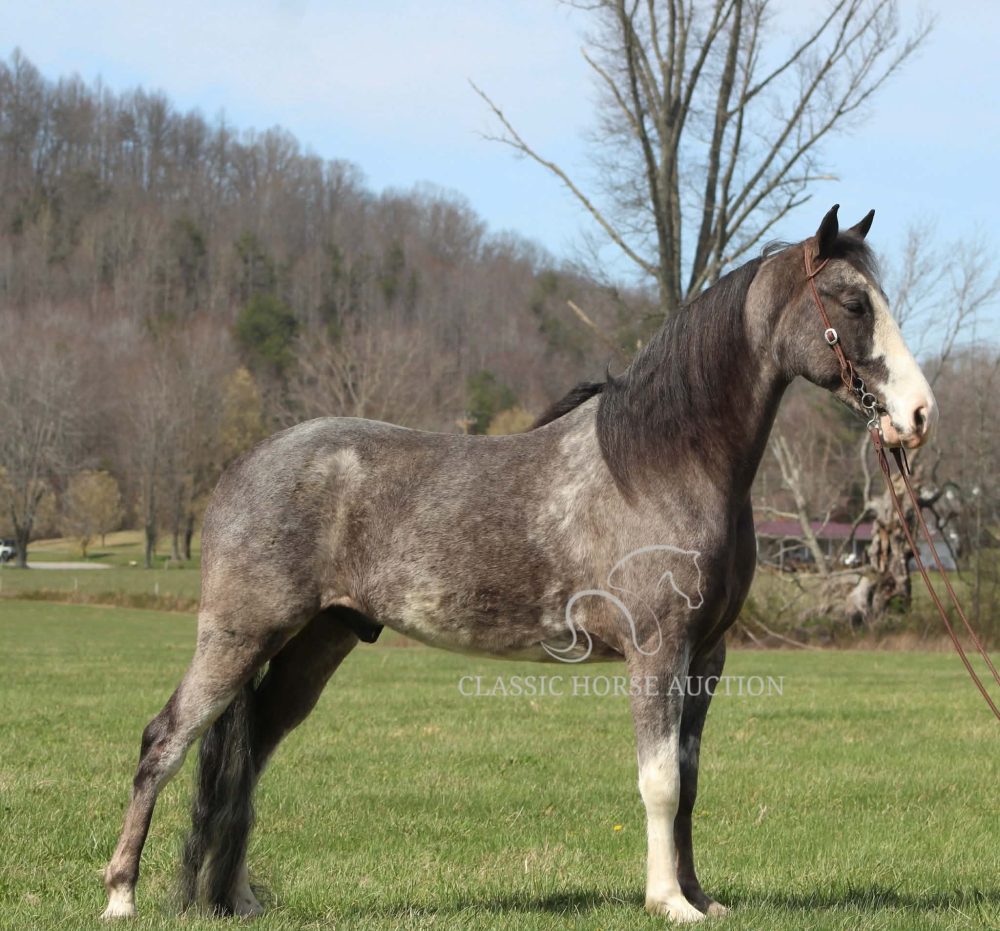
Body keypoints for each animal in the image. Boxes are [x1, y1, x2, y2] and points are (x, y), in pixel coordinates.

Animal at [102, 205, 937, 923]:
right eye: (851, 302)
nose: (919, 413)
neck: (664, 460)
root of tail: (243, 468)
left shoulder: (707, 655)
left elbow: (690, 778)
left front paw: (700, 896)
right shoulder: (657, 650)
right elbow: (660, 780)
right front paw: (667, 902)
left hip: (315, 644)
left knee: (248, 756)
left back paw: (237, 897)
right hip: (238, 637)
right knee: (165, 741)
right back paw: (120, 895)